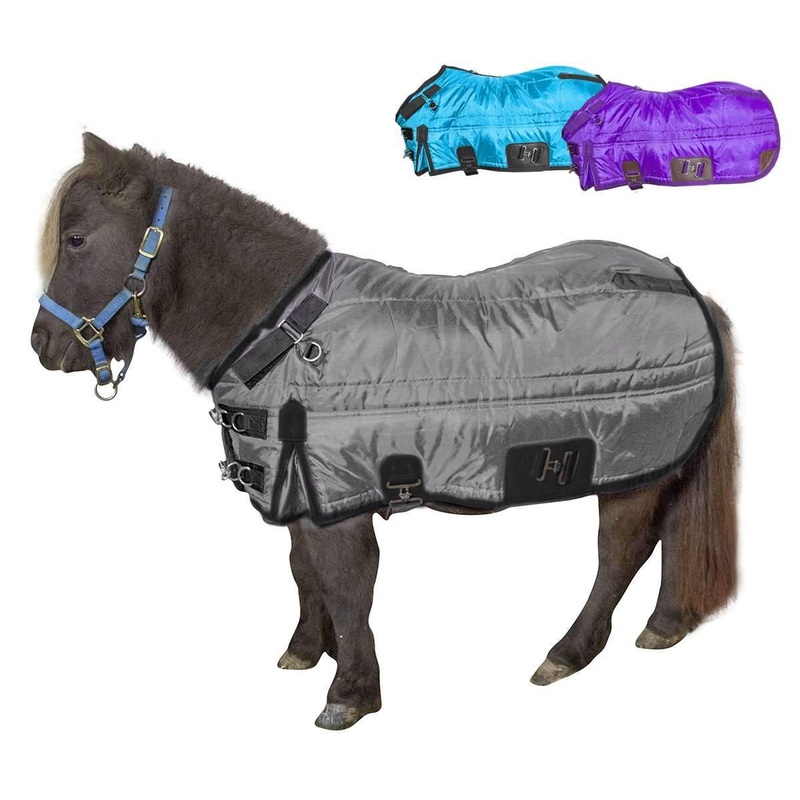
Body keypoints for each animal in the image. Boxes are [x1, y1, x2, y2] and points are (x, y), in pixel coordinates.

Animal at [30, 133, 738, 730]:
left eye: (77, 240)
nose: (43, 345)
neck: (280, 331)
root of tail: (685, 286)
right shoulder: (299, 491)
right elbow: (304, 573)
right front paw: (306, 651)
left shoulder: (337, 497)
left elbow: (346, 584)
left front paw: (349, 694)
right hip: (660, 464)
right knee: (671, 531)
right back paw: (665, 625)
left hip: (630, 467)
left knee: (621, 550)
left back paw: (567, 652)